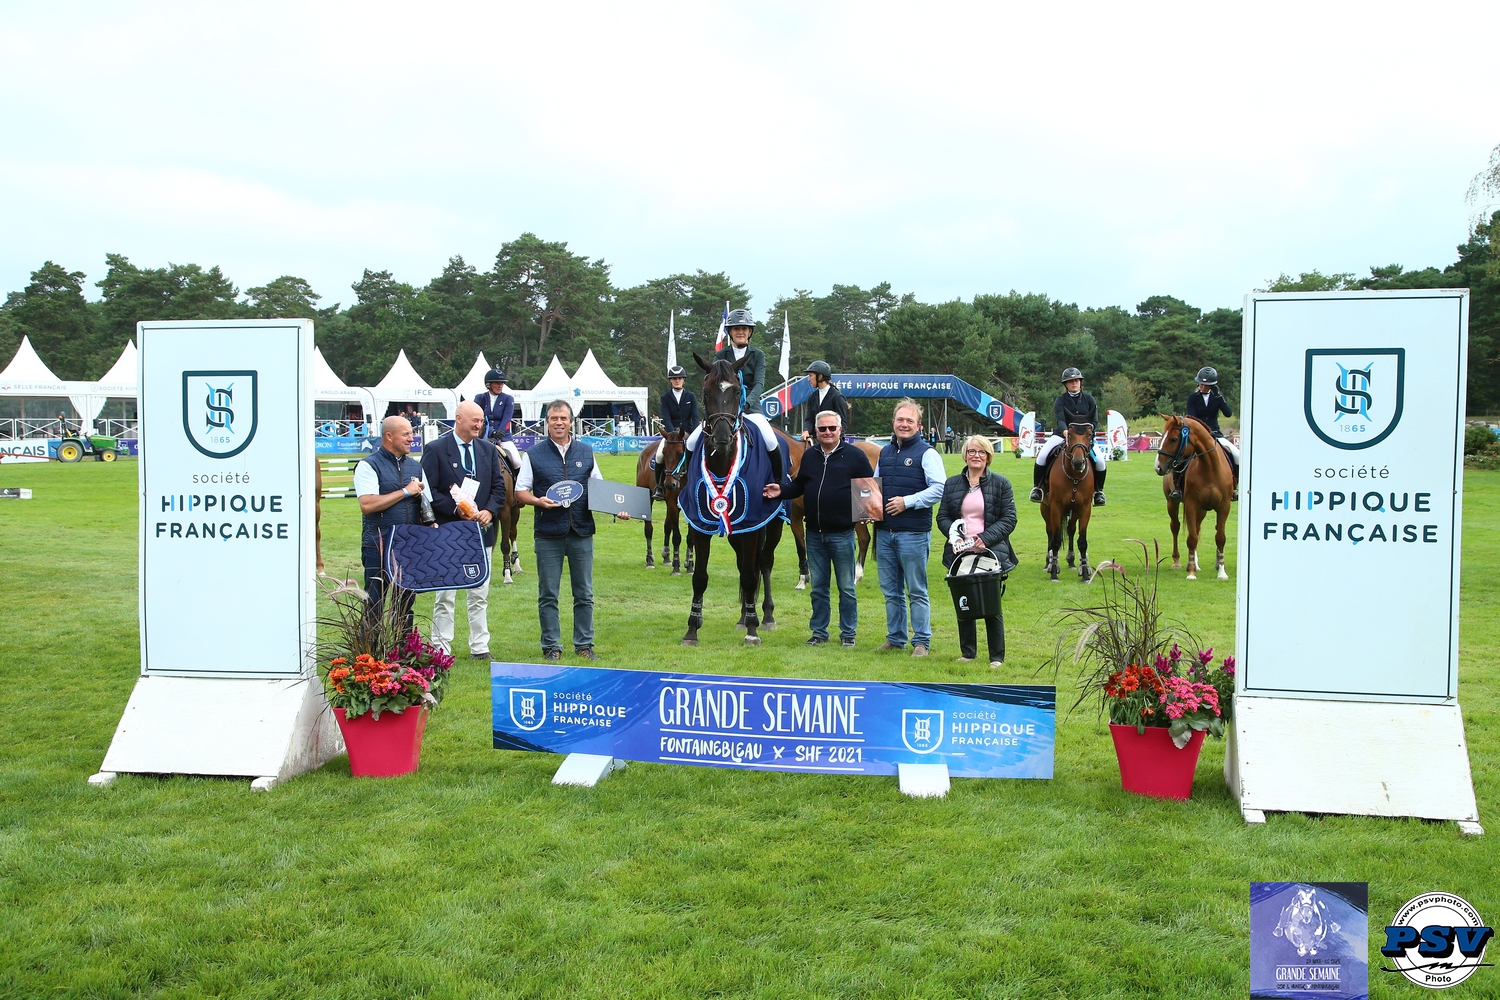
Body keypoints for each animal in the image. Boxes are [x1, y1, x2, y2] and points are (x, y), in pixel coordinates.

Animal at [634, 430, 692, 574]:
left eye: (681, 454)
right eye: (664, 454)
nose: (670, 484)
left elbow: (690, 537)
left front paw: (690, 565)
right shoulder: (673, 504)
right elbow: (676, 537)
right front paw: (676, 568)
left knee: (667, 526)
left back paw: (666, 558)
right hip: (648, 497)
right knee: (648, 529)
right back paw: (650, 560)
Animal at [682, 353, 784, 647]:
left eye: (738, 391)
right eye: (706, 392)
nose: (722, 438)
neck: (721, 463)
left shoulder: (752, 525)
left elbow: (751, 576)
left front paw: (752, 632)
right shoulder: (699, 524)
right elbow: (700, 577)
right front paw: (692, 629)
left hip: (773, 524)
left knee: (763, 563)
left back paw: (766, 617)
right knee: (744, 564)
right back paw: (743, 616)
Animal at [1040, 422, 1095, 582]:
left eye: (1089, 435)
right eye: (1069, 434)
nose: (1078, 463)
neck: (1074, 476)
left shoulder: (1085, 509)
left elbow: (1082, 542)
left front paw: (1085, 573)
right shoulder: (1056, 508)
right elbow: (1056, 540)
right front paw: (1053, 572)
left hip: (1074, 511)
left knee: (1071, 529)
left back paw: (1071, 561)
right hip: (1046, 510)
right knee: (1050, 532)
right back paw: (1048, 562)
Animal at [1155, 413, 1233, 581]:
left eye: (1173, 439)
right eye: (1162, 437)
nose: (1158, 467)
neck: (1210, 467)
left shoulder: (1224, 506)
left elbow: (1220, 537)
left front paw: (1221, 571)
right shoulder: (1191, 505)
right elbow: (1191, 538)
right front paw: (1191, 572)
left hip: (1202, 510)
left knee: (1197, 528)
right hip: (1172, 503)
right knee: (1176, 526)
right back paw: (1178, 561)